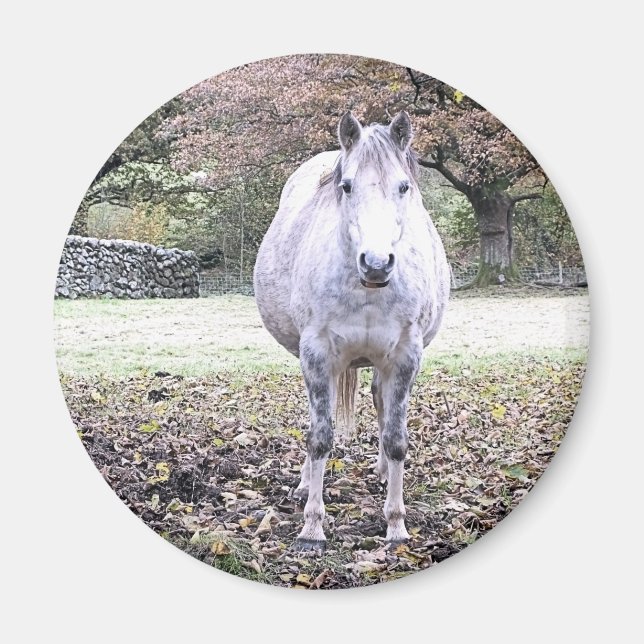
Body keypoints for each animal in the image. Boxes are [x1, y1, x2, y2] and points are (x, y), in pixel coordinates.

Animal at [253, 111, 450, 551]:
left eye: (404, 186)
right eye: (346, 186)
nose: (376, 264)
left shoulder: (405, 357)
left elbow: (396, 439)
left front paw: (396, 525)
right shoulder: (317, 354)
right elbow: (320, 436)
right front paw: (312, 528)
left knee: (380, 405)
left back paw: (381, 472)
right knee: (318, 418)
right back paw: (305, 482)